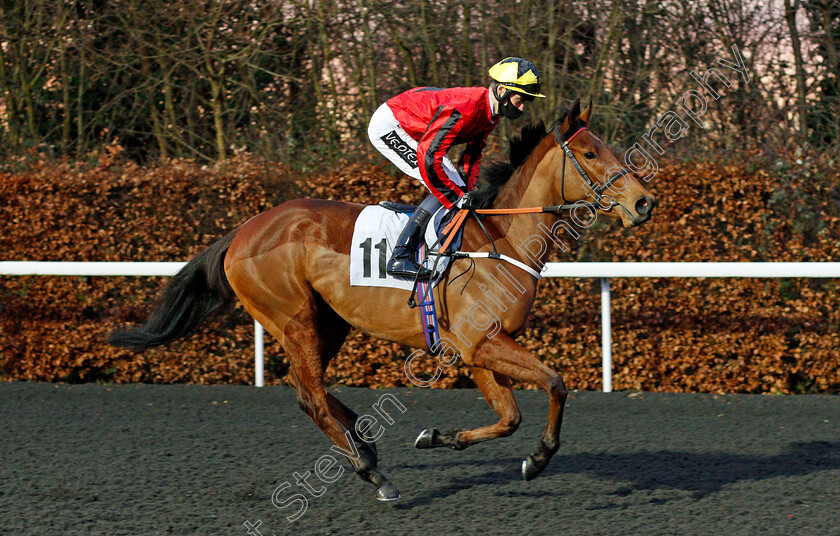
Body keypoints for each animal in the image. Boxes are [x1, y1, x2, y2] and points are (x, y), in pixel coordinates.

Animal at [108, 99, 656, 498]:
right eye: (590, 153)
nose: (644, 202)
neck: (502, 239)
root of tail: (242, 231)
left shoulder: (478, 350)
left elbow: (508, 417)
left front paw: (441, 437)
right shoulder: (482, 343)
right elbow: (556, 384)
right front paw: (538, 458)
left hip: (328, 322)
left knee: (308, 391)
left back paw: (363, 439)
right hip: (295, 318)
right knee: (310, 394)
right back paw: (372, 471)